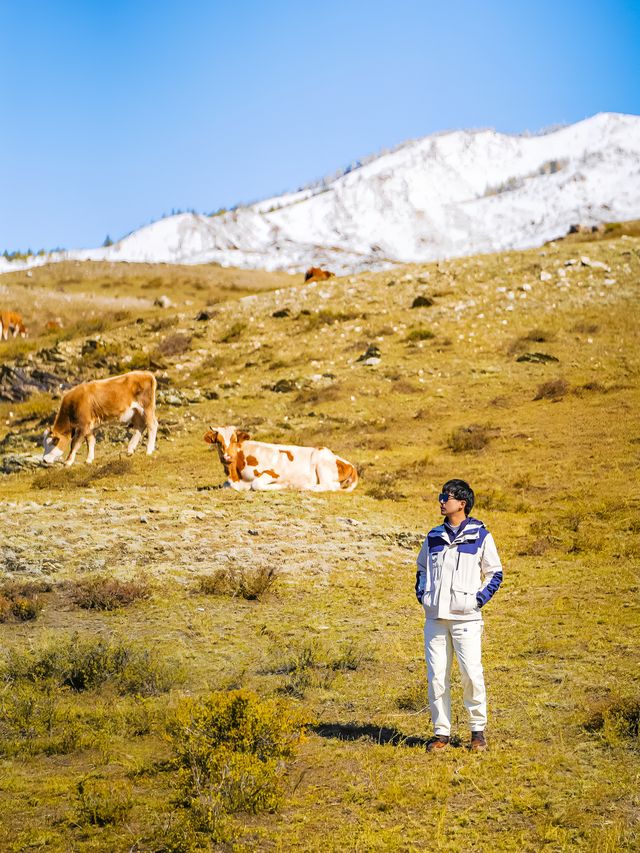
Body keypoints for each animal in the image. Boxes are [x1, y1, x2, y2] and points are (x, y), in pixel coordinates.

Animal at [204, 426, 358, 492]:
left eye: (235, 440)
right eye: (218, 442)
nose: (227, 456)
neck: (235, 475)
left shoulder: (272, 473)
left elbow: (256, 484)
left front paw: (284, 485)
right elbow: (225, 485)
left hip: (321, 462)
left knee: (329, 486)